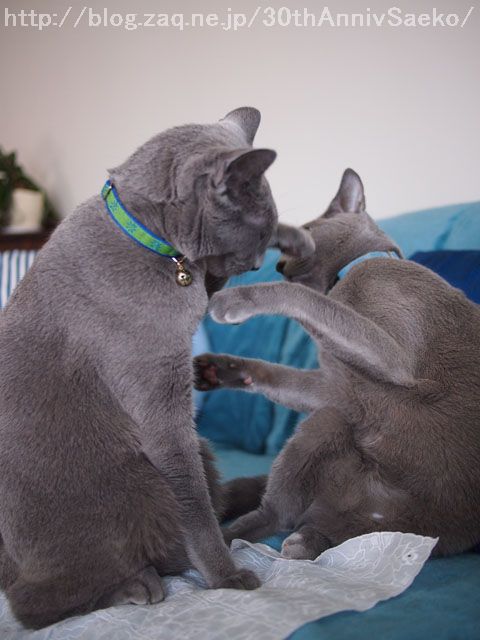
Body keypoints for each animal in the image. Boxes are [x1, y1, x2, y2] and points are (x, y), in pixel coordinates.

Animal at [0, 107, 314, 629]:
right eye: (250, 239)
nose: (254, 263)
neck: (155, 245)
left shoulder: (202, 280)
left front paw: (298, 236)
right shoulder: (161, 404)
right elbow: (195, 509)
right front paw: (226, 577)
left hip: (200, 453)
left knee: (216, 496)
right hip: (145, 485)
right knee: (33, 605)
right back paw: (136, 586)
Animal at [195, 168, 480, 560]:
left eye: (305, 230)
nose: (277, 264)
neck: (351, 273)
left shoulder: (390, 359)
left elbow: (306, 298)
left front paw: (231, 301)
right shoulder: (342, 389)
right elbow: (284, 373)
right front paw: (217, 369)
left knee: (279, 519)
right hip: (327, 427)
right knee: (279, 514)